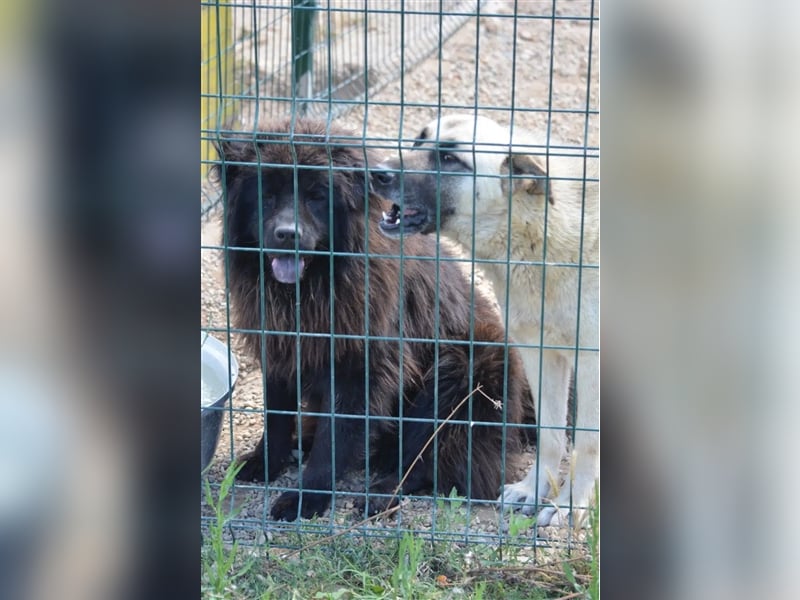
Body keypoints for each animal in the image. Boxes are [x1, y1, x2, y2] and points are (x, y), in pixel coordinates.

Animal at [214, 117, 524, 520]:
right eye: (266, 195)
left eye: (316, 196)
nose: (287, 234)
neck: (315, 285)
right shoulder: (280, 345)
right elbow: (277, 415)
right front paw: (267, 460)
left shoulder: (360, 368)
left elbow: (334, 439)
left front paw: (306, 496)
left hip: (466, 365)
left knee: (426, 459)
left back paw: (379, 494)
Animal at [376, 113, 600, 524]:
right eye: (419, 140)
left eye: (451, 160)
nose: (376, 172)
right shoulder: (540, 353)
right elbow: (550, 433)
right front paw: (533, 490)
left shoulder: (591, 364)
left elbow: (588, 443)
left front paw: (569, 504)